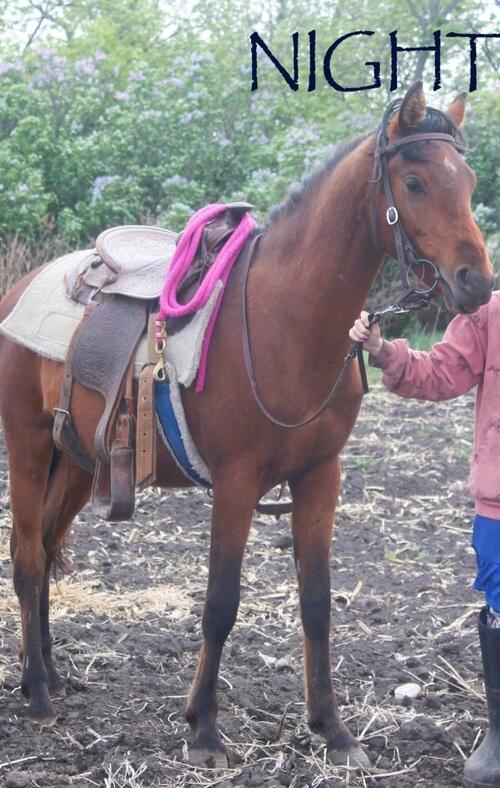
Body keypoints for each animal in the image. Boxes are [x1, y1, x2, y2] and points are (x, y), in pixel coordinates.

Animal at [0, 82, 493, 769]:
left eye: (468, 181)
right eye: (416, 182)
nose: (477, 282)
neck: (284, 317)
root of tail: (21, 287)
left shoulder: (320, 478)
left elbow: (317, 604)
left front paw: (332, 729)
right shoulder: (235, 486)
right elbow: (220, 604)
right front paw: (205, 730)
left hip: (74, 461)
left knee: (46, 550)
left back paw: (45, 671)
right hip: (25, 445)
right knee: (25, 557)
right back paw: (40, 696)